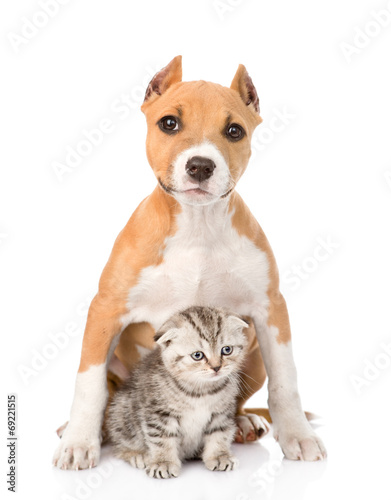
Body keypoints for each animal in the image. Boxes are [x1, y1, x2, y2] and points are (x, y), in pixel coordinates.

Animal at [105, 306, 250, 478]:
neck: (200, 391)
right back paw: (137, 454)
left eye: (226, 350)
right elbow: (162, 439)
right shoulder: (158, 414)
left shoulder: (221, 413)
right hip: (122, 409)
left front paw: (219, 456)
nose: (216, 367)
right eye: (197, 355)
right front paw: (163, 462)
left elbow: (219, 434)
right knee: (120, 442)